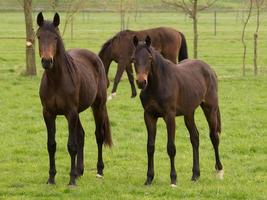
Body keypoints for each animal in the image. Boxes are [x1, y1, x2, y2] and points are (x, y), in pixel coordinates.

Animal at [36, 12, 112, 186]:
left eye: (55, 37)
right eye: (38, 36)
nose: (47, 61)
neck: (56, 80)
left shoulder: (70, 113)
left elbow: (71, 145)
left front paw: (71, 181)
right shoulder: (48, 114)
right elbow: (51, 145)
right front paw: (51, 178)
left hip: (97, 106)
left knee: (99, 135)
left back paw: (99, 170)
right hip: (78, 113)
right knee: (81, 135)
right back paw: (79, 171)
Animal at [132, 35, 224, 186]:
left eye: (150, 58)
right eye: (133, 59)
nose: (141, 82)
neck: (157, 85)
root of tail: (209, 69)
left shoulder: (169, 116)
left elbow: (171, 148)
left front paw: (173, 179)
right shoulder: (149, 116)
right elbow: (150, 147)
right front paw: (149, 178)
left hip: (210, 109)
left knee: (214, 137)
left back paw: (219, 170)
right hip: (189, 113)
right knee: (195, 138)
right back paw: (195, 175)